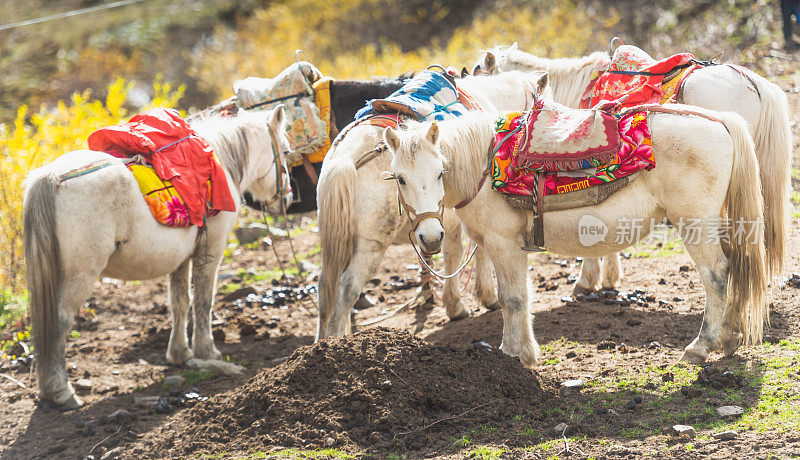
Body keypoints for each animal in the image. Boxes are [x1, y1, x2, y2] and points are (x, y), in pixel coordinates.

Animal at [24, 108, 294, 410]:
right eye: (285, 152)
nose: (287, 199)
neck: (217, 163)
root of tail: (50, 178)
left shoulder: (181, 259)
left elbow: (180, 303)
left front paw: (180, 354)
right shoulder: (210, 248)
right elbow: (203, 300)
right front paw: (207, 351)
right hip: (78, 276)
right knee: (59, 324)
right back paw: (61, 392)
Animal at [318, 71, 552, 338]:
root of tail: (346, 158)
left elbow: (455, 250)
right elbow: (468, 251)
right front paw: (475, 300)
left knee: (325, 288)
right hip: (371, 244)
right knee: (347, 289)